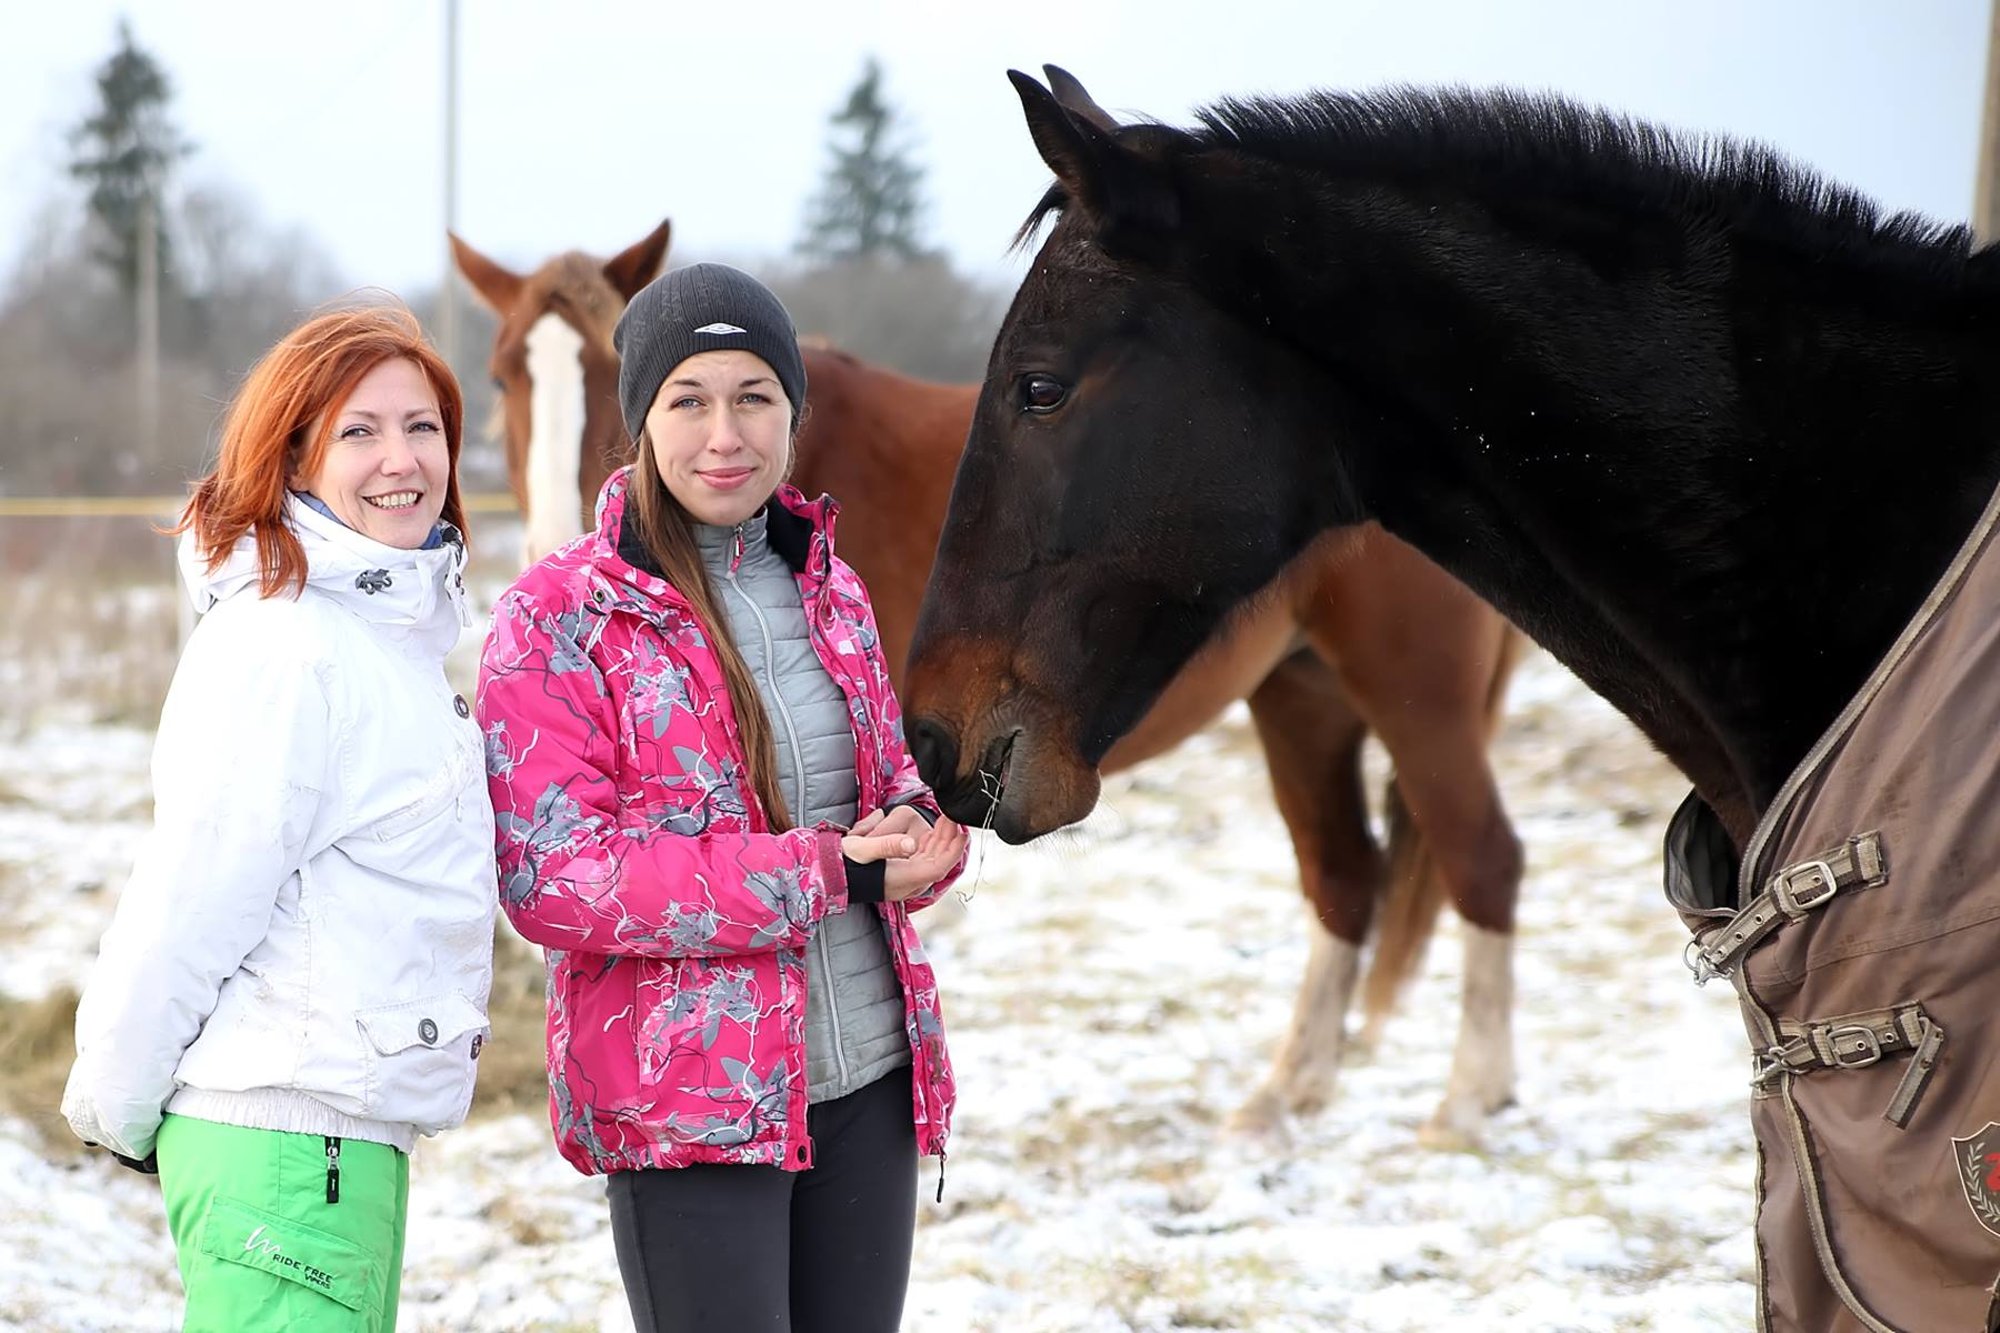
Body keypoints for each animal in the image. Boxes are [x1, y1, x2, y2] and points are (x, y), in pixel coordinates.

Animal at [446, 223, 1520, 1136]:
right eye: (502, 374)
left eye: (601, 365)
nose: (551, 542)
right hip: (1301, 700)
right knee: (1344, 878)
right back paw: (1288, 1089)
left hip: (1415, 703)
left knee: (1481, 860)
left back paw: (1470, 1095)